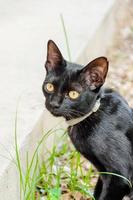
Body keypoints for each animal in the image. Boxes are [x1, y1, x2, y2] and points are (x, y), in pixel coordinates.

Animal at [42, 39, 133, 199]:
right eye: (49, 87)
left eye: (73, 94)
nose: (54, 104)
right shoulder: (103, 173)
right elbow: (98, 191)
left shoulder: (119, 176)